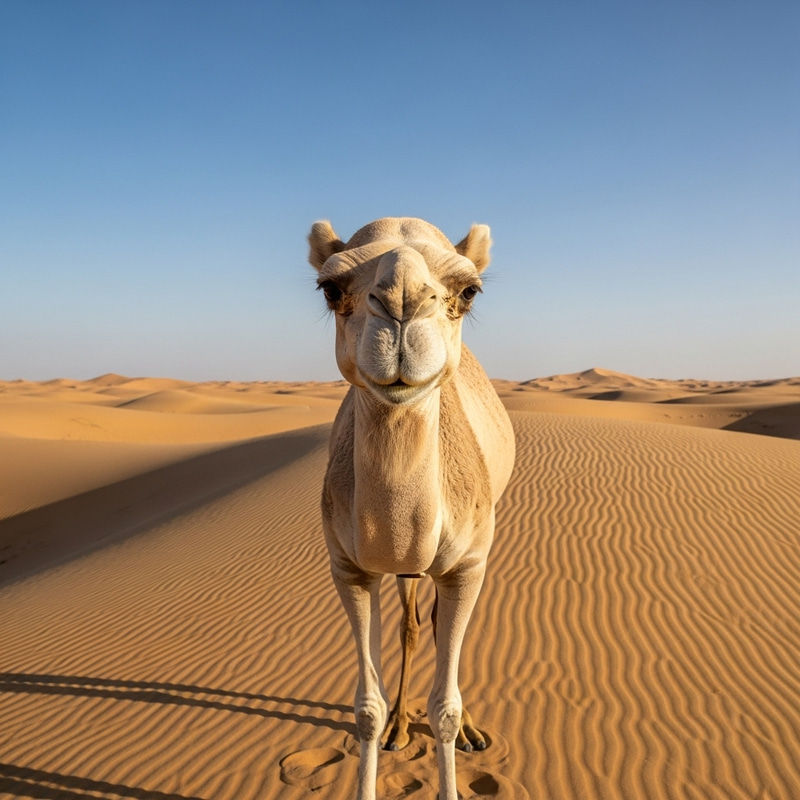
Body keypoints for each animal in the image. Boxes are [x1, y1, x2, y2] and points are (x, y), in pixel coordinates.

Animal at [308, 217, 515, 800]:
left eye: (469, 291)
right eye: (330, 288)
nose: (402, 301)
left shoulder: (468, 564)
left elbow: (444, 709)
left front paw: (457, 735)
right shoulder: (349, 568)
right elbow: (365, 711)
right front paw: (386, 727)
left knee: (442, 626)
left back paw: (470, 733)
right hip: (405, 569)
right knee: (412, 625)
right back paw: (402, 727)